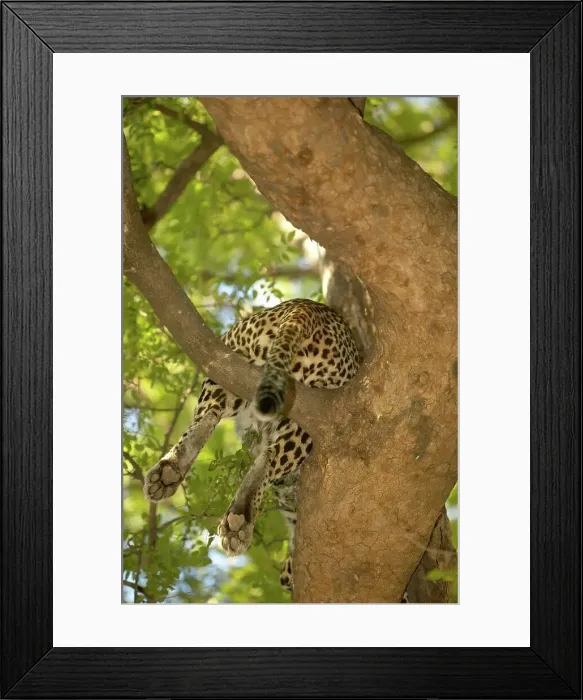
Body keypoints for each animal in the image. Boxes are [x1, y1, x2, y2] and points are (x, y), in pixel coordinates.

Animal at [143, 298, 361, 593]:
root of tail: (307, 307)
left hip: (231, 369)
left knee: (209, 416)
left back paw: (169, 471)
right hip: (311, 416)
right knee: (270, 457)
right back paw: (240, 519)